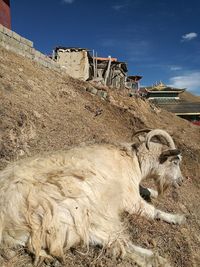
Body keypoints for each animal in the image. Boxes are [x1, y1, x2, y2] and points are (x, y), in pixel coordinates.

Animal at [0, 129, 185, 266]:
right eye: (175, 162)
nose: (181, 181)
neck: (134, 161)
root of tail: (8, 227)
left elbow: (146, 191)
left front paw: (153, 192)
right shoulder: (130, 197)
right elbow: (153, 211)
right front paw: (177, 217)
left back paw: (155, 259)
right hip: (74, 207)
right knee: (115, 241)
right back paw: (157, 259)